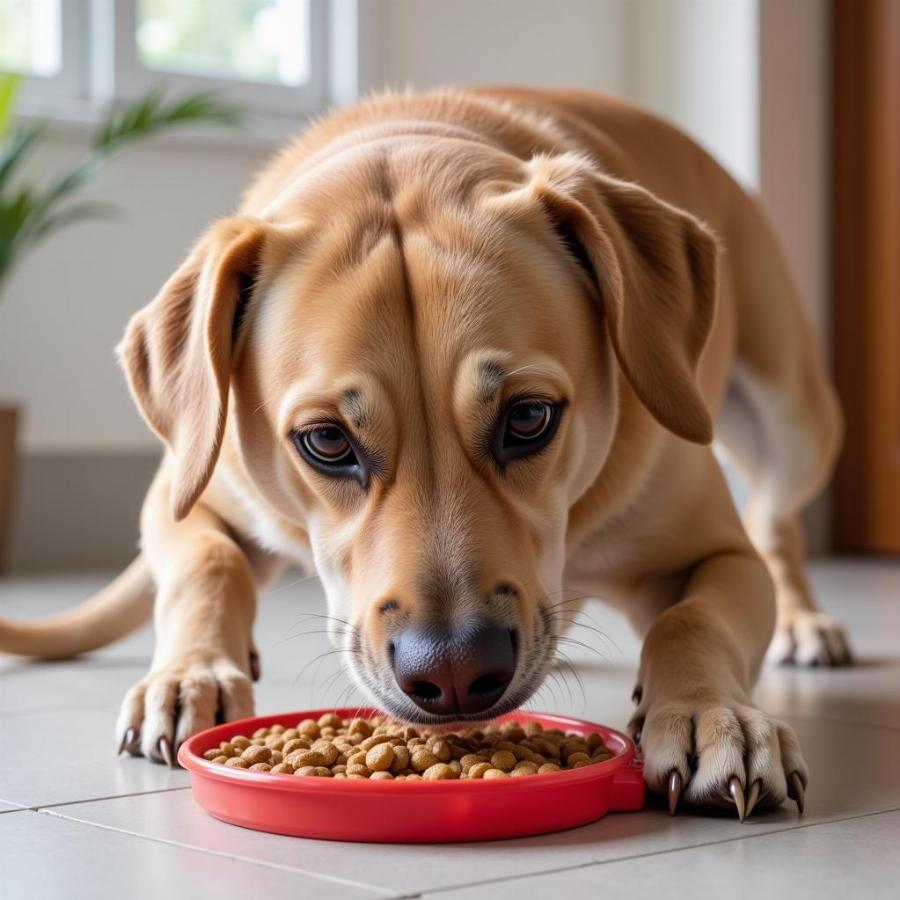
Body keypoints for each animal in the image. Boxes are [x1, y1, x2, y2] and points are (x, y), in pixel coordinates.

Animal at [0, 89, 848, 816]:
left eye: (529, 417)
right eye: (326, 440)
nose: (456, 670)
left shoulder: (713, 551)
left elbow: (692, 618)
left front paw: (711, 713)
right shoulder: (189, 494)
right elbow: (207, 566)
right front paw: (187, 677)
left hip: (796, 417)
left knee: (777, 519)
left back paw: (808, 623)